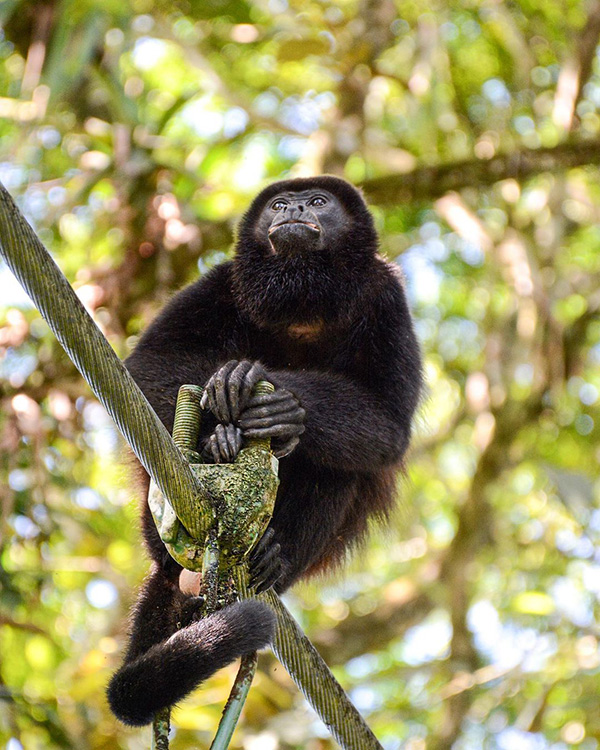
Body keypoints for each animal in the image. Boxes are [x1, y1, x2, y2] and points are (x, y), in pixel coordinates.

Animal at [106, 176, 422, 728]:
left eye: (318, 201)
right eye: (278, 204)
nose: (293, 208)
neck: (304, 309)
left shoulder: (387, 296)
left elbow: (387, 424)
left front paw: (284, 407)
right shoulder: (223, 281)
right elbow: (149, 365)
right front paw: (223, 397)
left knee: (342, 467)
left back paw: (274, 555)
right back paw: (217, 443)